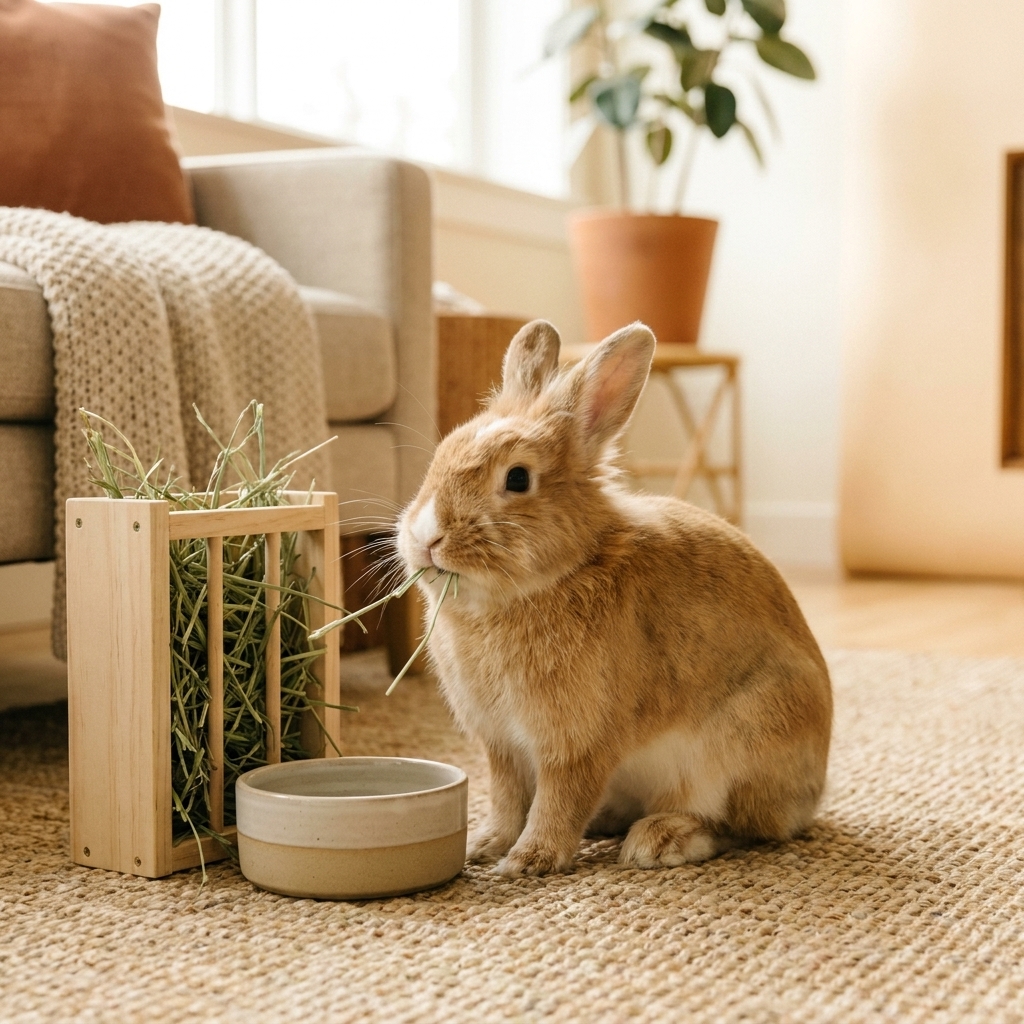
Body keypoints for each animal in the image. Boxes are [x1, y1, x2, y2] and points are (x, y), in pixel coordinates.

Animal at [395, 319, 832, 877]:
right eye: (443, 452)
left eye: (517, 478)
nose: (426, 537)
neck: (561, 572)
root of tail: (810, 794)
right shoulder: (503, 746)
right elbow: (508, 797)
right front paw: (486, 845)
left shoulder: (577, 743)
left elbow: (559, 799)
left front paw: (530, 860)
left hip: (740, 747)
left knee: (742, 826)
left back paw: (661, 840)